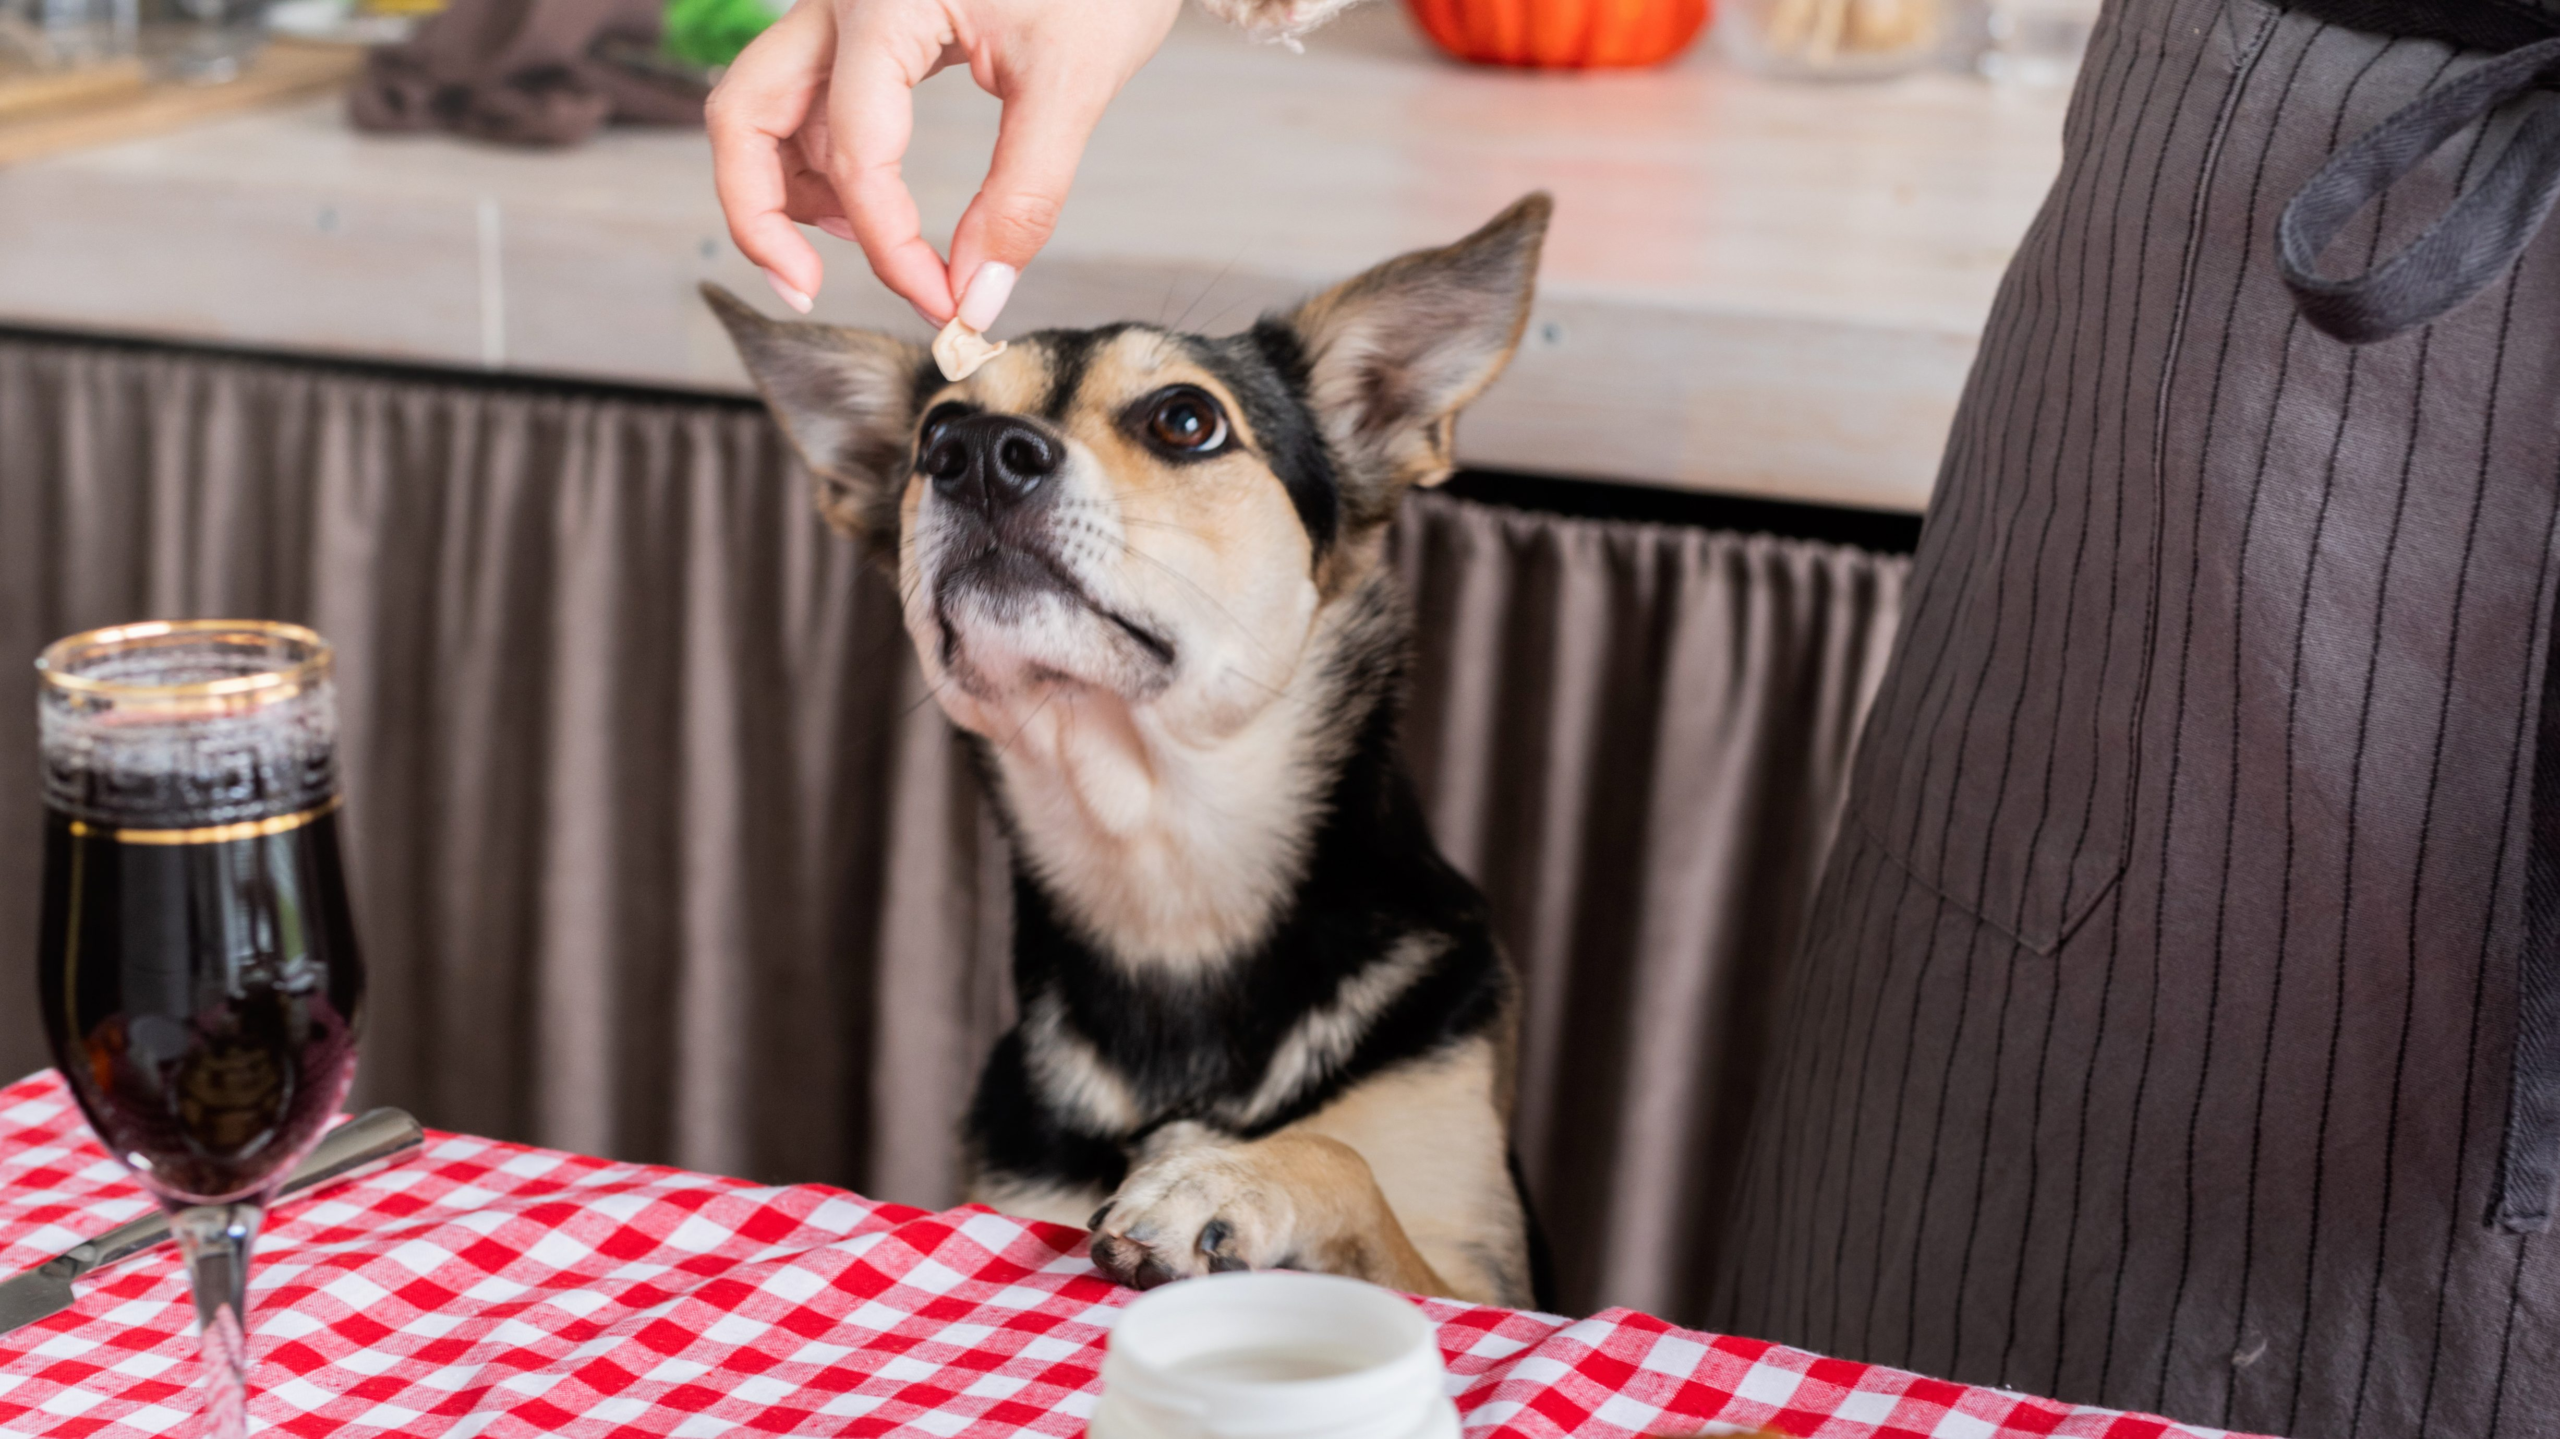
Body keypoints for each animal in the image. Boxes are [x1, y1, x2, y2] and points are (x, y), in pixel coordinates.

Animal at [701, 195, 1546, 1305]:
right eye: (934, 432)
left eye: (1185, 419)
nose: (976, 452)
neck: (1163, 873)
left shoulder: (1476, 1272)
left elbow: (1342, 1159)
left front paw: (1222, 1178)